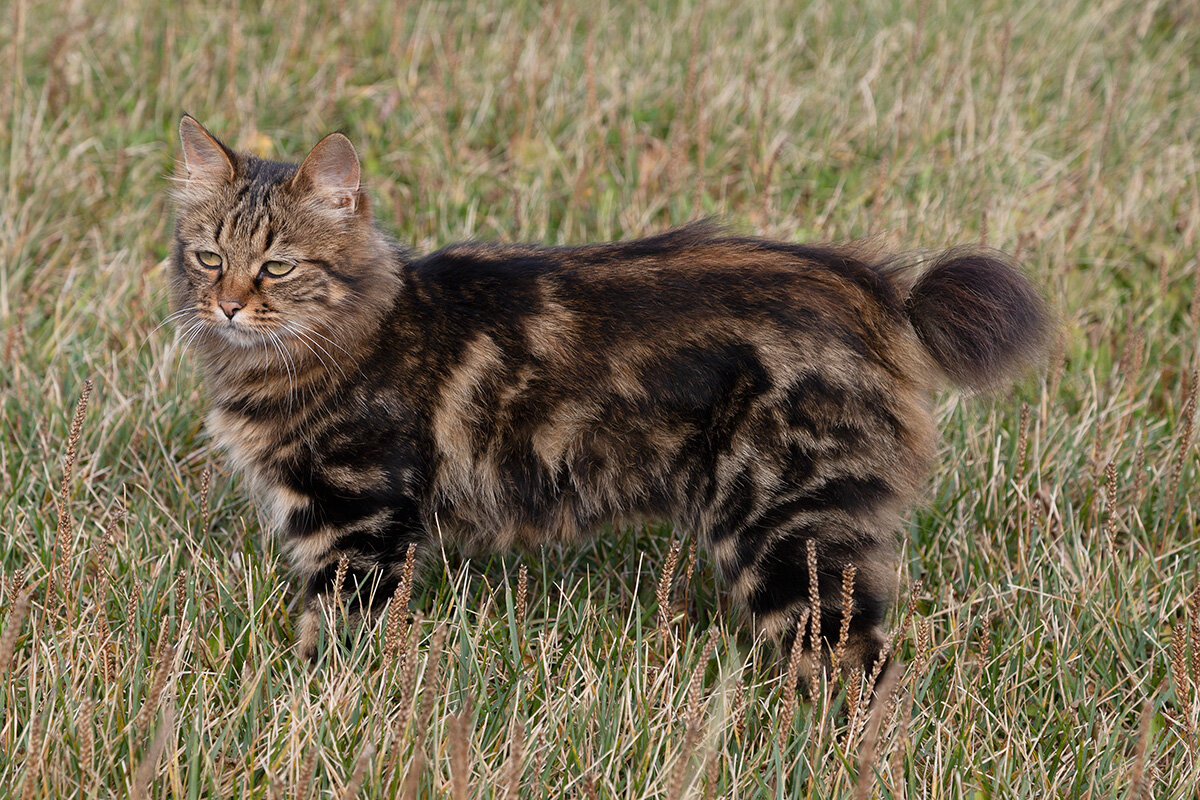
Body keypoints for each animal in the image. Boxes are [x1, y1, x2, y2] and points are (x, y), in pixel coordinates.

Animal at [171, 115, 1051, 671]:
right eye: (209, 256)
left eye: (278, 266)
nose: (228, 305)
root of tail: (877, 288)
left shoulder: (357, 525)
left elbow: (334, 640)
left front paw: (310, 702)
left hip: (787, 531)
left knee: (854, 666)